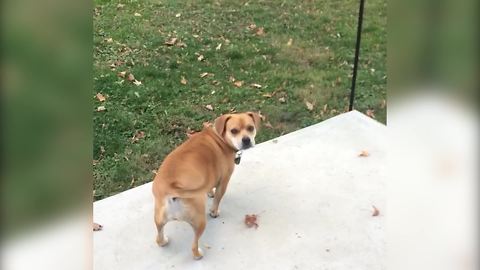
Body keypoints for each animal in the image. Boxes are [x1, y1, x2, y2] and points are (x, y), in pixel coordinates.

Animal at [152, 111, 260, 260]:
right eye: (234, 131)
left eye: (250, 128)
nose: (246, 140)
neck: (219, 136)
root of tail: (172, 189)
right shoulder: (224, 181)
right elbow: (218, 199)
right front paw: (214, 211)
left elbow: (210, 188)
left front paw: (210, 193)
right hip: (199, 222)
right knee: (193, 246)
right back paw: (198, 255)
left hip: (159, 219)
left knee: (159, 238)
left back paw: (163, 241)